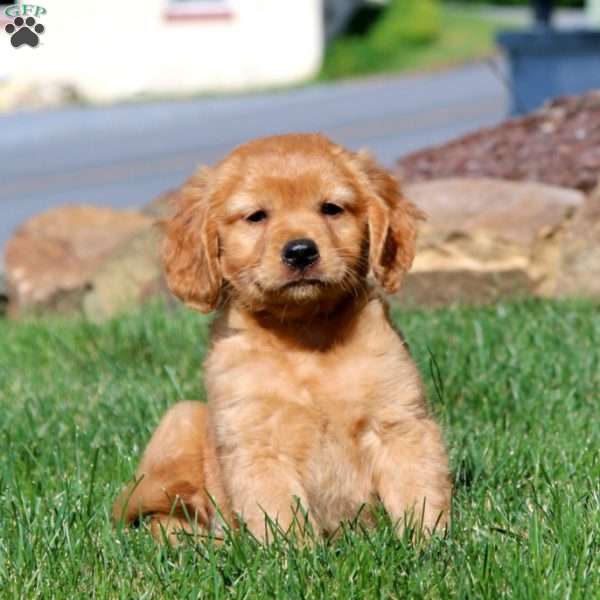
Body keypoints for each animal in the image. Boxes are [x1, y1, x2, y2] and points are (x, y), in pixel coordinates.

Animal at [112, 134, 450, 540]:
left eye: (331, 208)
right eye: (257, 216)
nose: (301, 251)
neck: (304, 334)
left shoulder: (399, 421)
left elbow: (417, 490)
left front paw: (428, 545)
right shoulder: (257, 443)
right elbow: (282, 518)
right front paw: (297, 555)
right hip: (179, 425)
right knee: (160, 517)